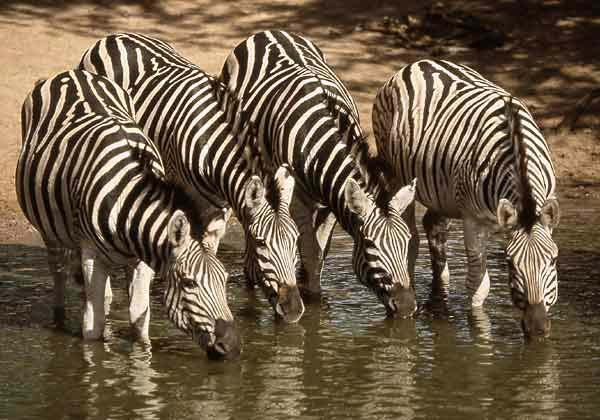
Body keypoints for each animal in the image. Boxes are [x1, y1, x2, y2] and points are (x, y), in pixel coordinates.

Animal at [14, 69, 239, 358]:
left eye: (224, 279)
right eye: (189, 283)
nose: (232, 346)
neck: (128, 205)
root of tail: (70, 73)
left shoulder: (143, 260)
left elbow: (139, 318)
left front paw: (141, 355)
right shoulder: (92, 255)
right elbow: (93, 327)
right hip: (47, 229)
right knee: (59, 273)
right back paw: (59, 317)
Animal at [78, 32, 304, 324]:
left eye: (296, 240)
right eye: (260, 243)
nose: (294, 310)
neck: (212, 143)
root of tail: (112, 36)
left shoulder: (220, 211)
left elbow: (208, 250)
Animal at [218, 29, 420, 316]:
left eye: (406, 244)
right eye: (370, 245)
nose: (407, 308)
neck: (319, 143)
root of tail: (269, 31)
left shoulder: (330, 204)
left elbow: (319, 254)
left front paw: (313, 293)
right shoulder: (297, 200)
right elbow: (311, 252)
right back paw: (251, 273)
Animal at [372, 59, 560, 336]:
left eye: (553, 260)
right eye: (510, 264)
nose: (537, 328)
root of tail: (418, 63)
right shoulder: (473, 220)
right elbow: (478, 286)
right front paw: (479, 330)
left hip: (440, 190)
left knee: (434, 227)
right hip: (396, 174)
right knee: (411, 235)